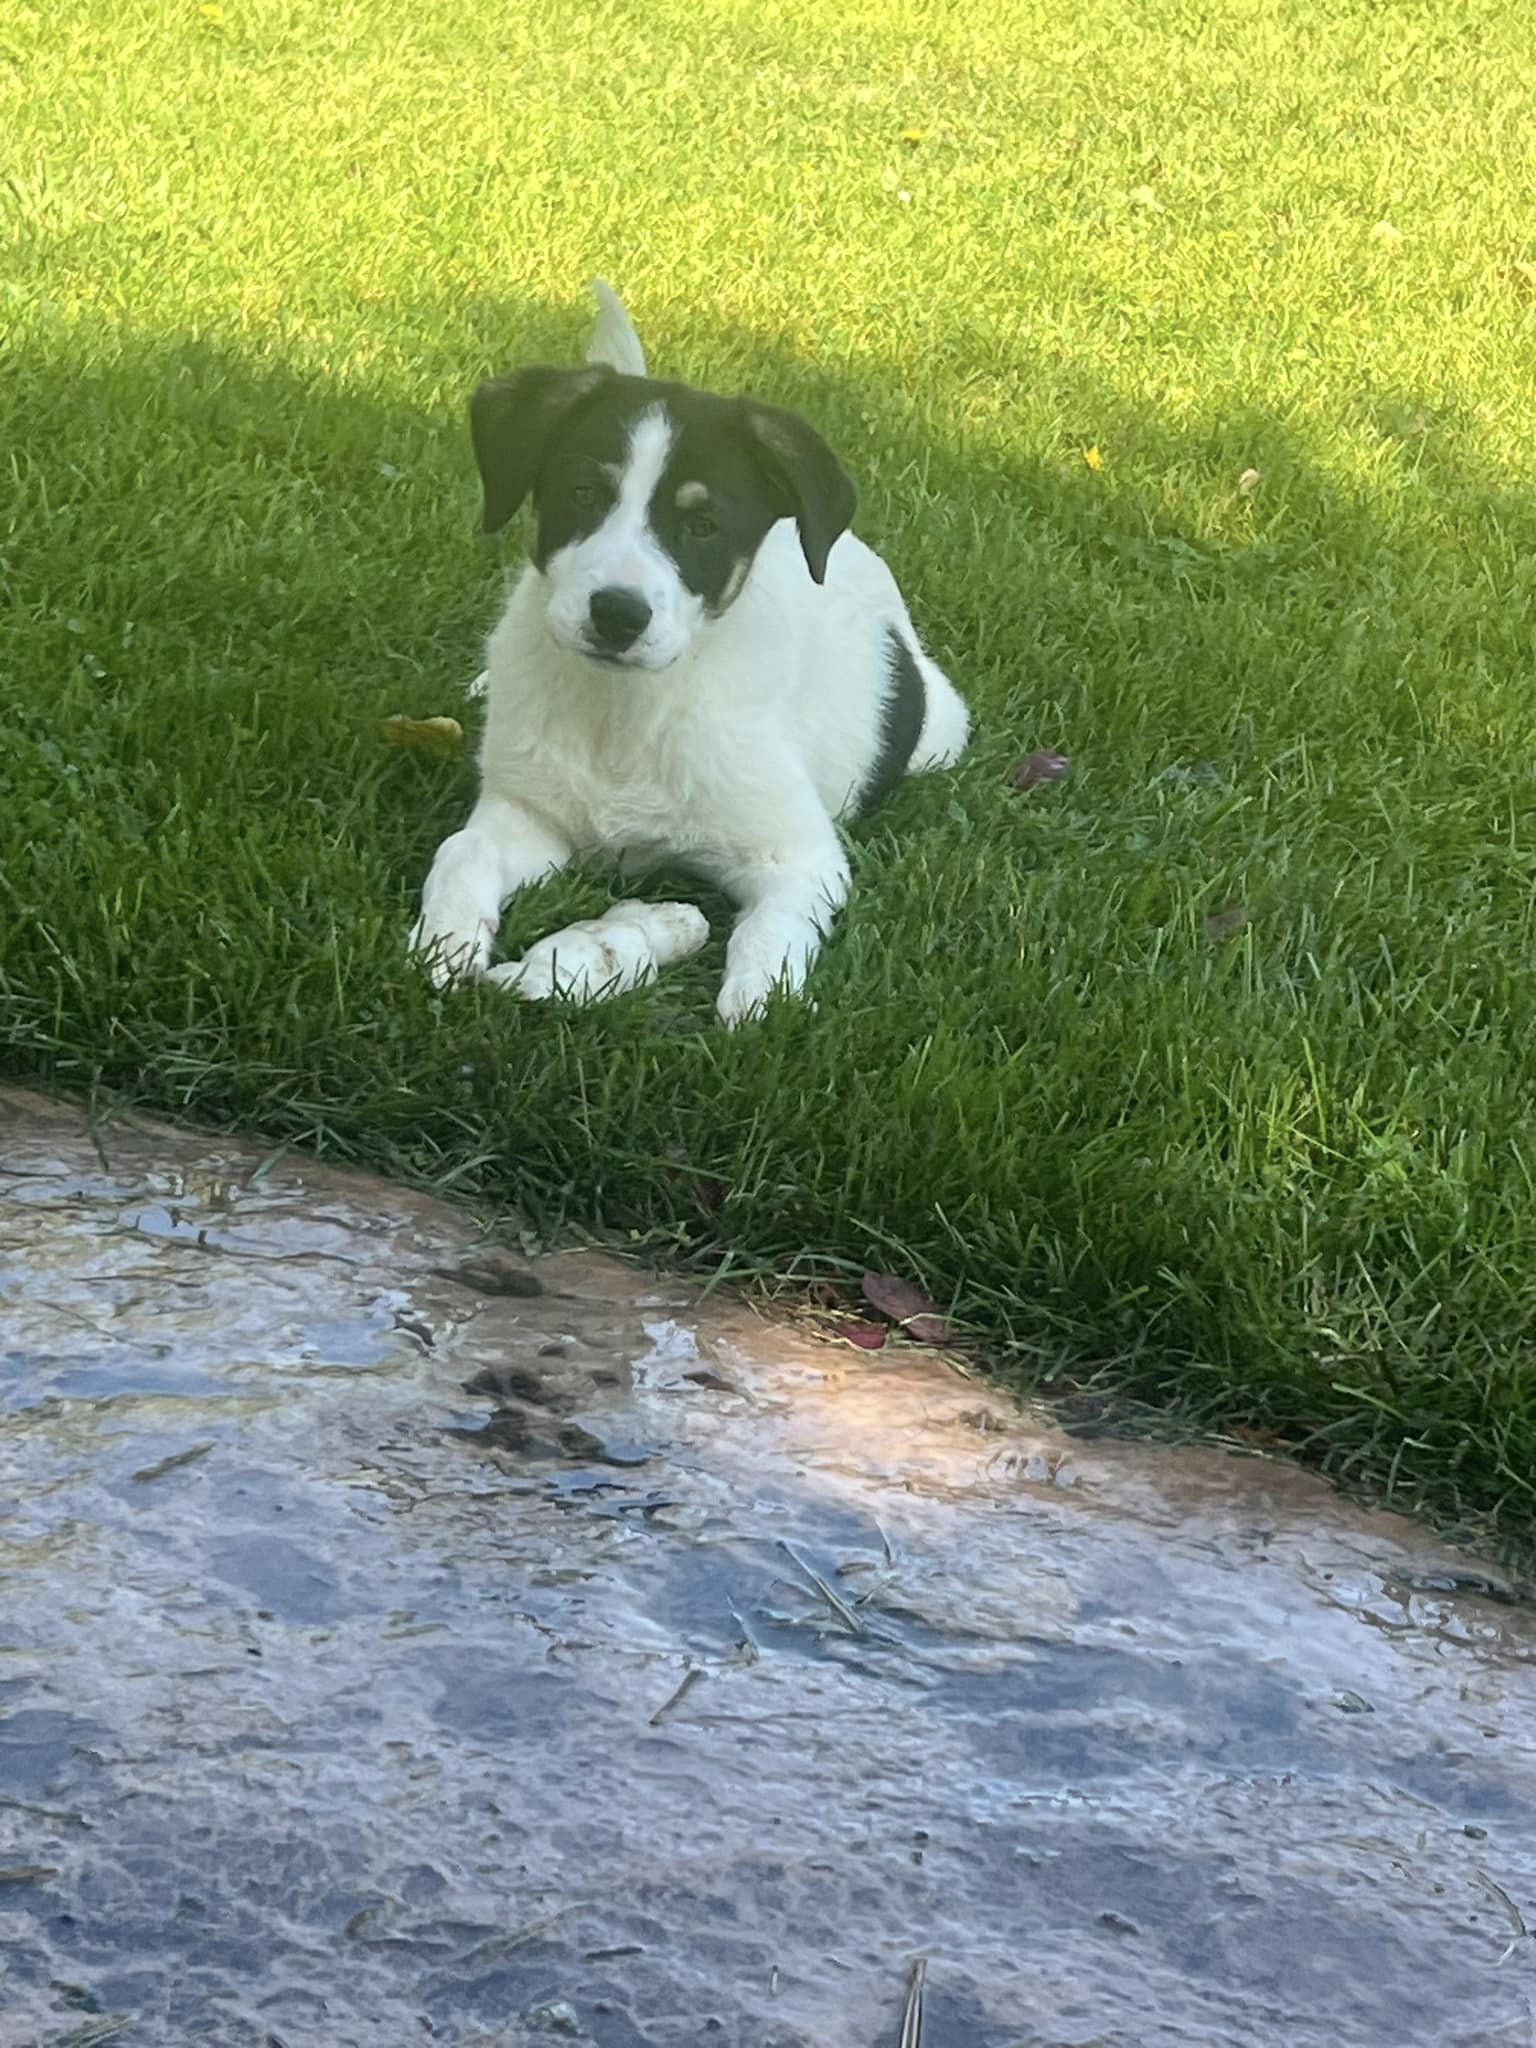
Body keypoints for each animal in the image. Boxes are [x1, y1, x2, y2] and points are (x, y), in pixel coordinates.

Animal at [405, 288, 962, 1024]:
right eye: (583, 493)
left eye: (703, 526)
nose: (617, 615)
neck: (628, 709)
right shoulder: (526, 812)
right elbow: (461, 852)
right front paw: (444, 943)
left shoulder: (799, 858)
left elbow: (771, 931)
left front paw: (757, 1001)